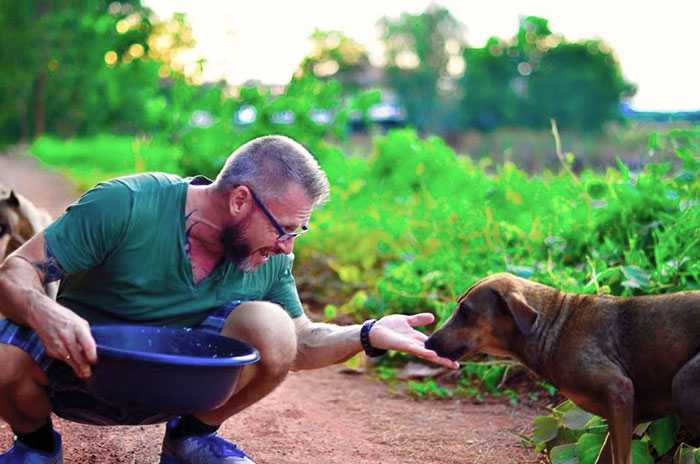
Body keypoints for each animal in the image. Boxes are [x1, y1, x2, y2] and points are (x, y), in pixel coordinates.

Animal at [424, 272, 700, 464]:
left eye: (465, 311)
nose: (428, 342)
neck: (555, 326)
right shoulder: (626, 415)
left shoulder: (618, 391)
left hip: (684, 385)